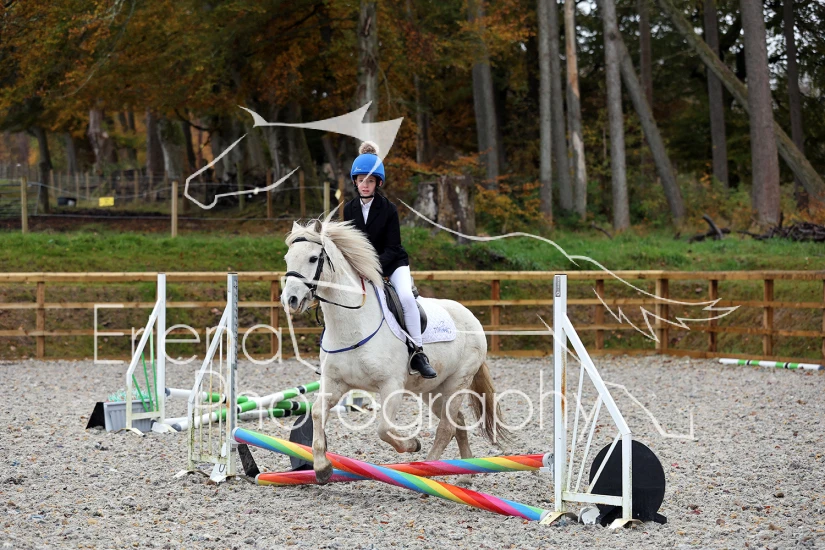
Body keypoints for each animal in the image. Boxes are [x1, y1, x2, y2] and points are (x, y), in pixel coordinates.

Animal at [280, 216, 511, 484]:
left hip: (458, 382)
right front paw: (322, 468)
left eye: (312, 258)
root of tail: (470, 315)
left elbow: (383, 429)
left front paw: (412, 444)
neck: (352, 324)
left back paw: (428, 468)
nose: (290, 300)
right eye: (287, 258)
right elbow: (317, 413)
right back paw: (464, 475)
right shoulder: (334, 382)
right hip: (432, 389)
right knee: (456, 422)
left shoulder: (391, 386)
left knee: (446, 427)